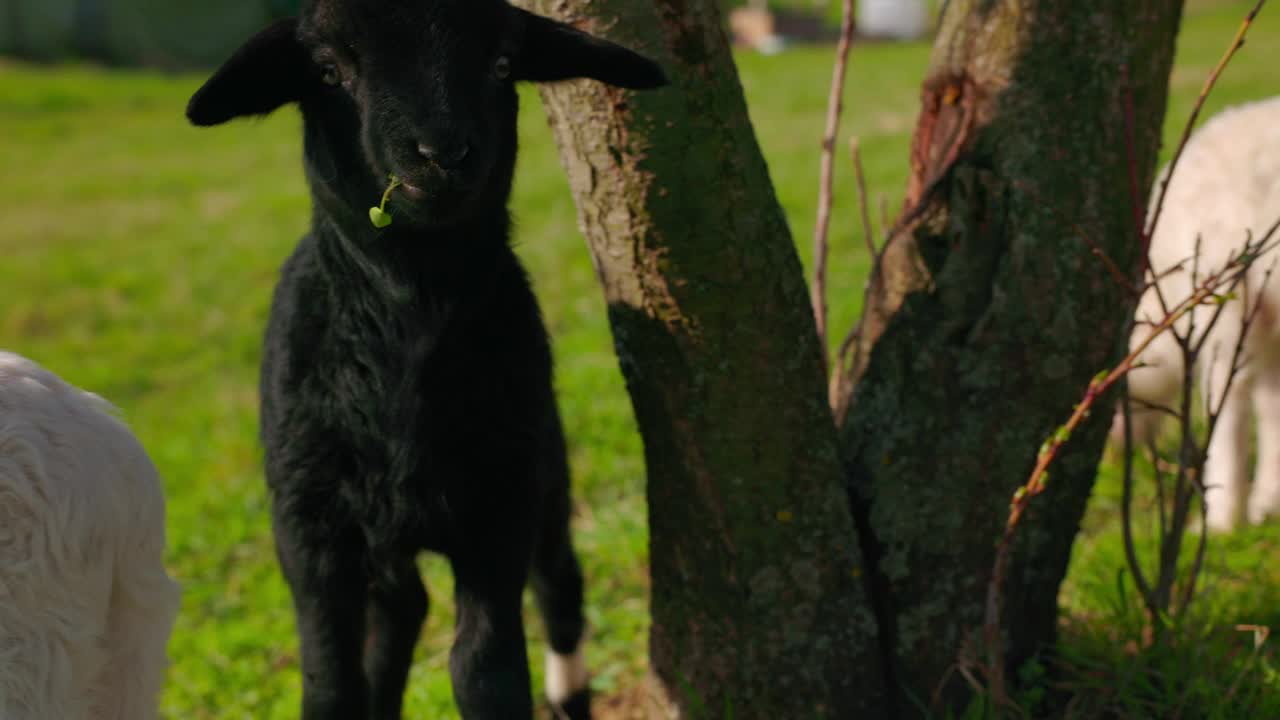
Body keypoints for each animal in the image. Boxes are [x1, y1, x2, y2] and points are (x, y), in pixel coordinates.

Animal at [186, 2, 670, 712]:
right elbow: (330, 681)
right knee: (402, 610)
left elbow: (484, 669)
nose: (441, 154)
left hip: (546, 471)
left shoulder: (501, 503)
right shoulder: (307, 525)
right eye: (329, 71)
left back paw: (570, 693)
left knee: (558, 586)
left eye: (503, 63)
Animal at [1121, 95, 1280, 530]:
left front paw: (1222, 519)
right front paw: (1266, 504)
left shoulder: (1224, 300)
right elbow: (1271, 405)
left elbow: (1227, 403)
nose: (1115, 454)